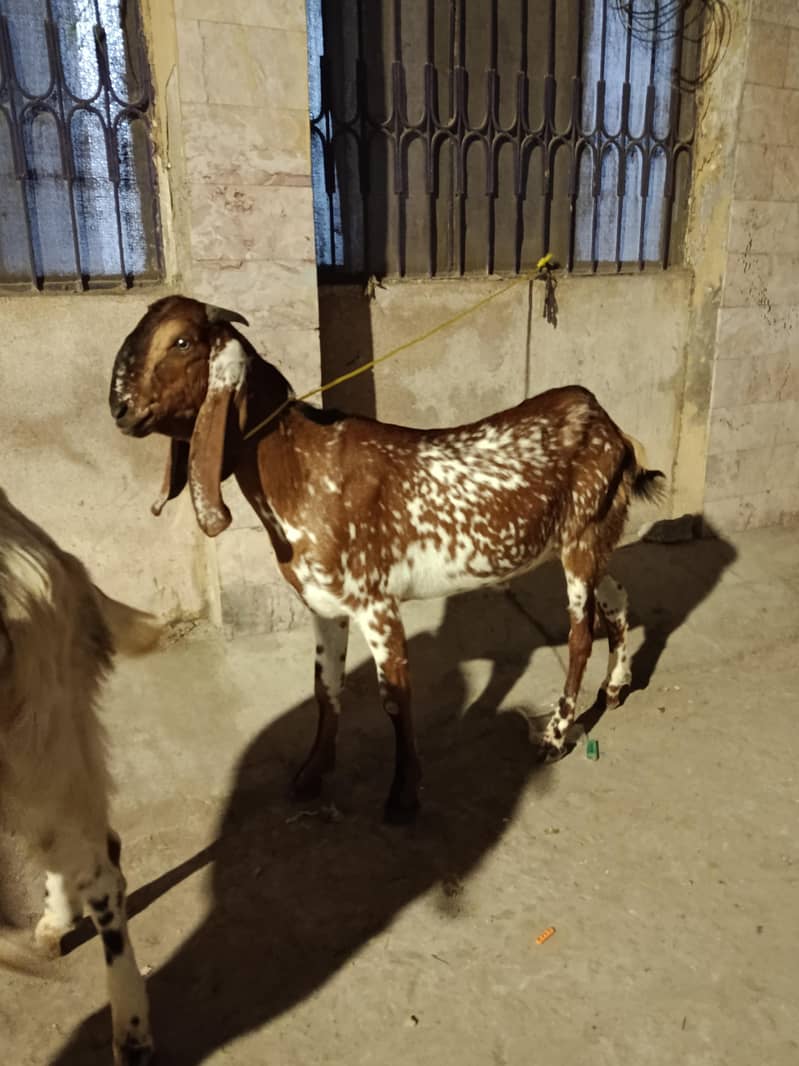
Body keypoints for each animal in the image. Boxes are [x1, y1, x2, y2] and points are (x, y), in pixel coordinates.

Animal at [109, 295, 664, 823]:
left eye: (181, 342)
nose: (119, 407)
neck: (303, 468)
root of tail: (611, 428)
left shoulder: (376, 602)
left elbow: (394, 696)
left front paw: (402, 797)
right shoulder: (324, 605)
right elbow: (325, 688)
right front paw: (311, 775)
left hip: (579, 541)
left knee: (579, 637)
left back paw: (554, 735)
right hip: (587, 541)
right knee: (616, 598)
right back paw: (616, 688)